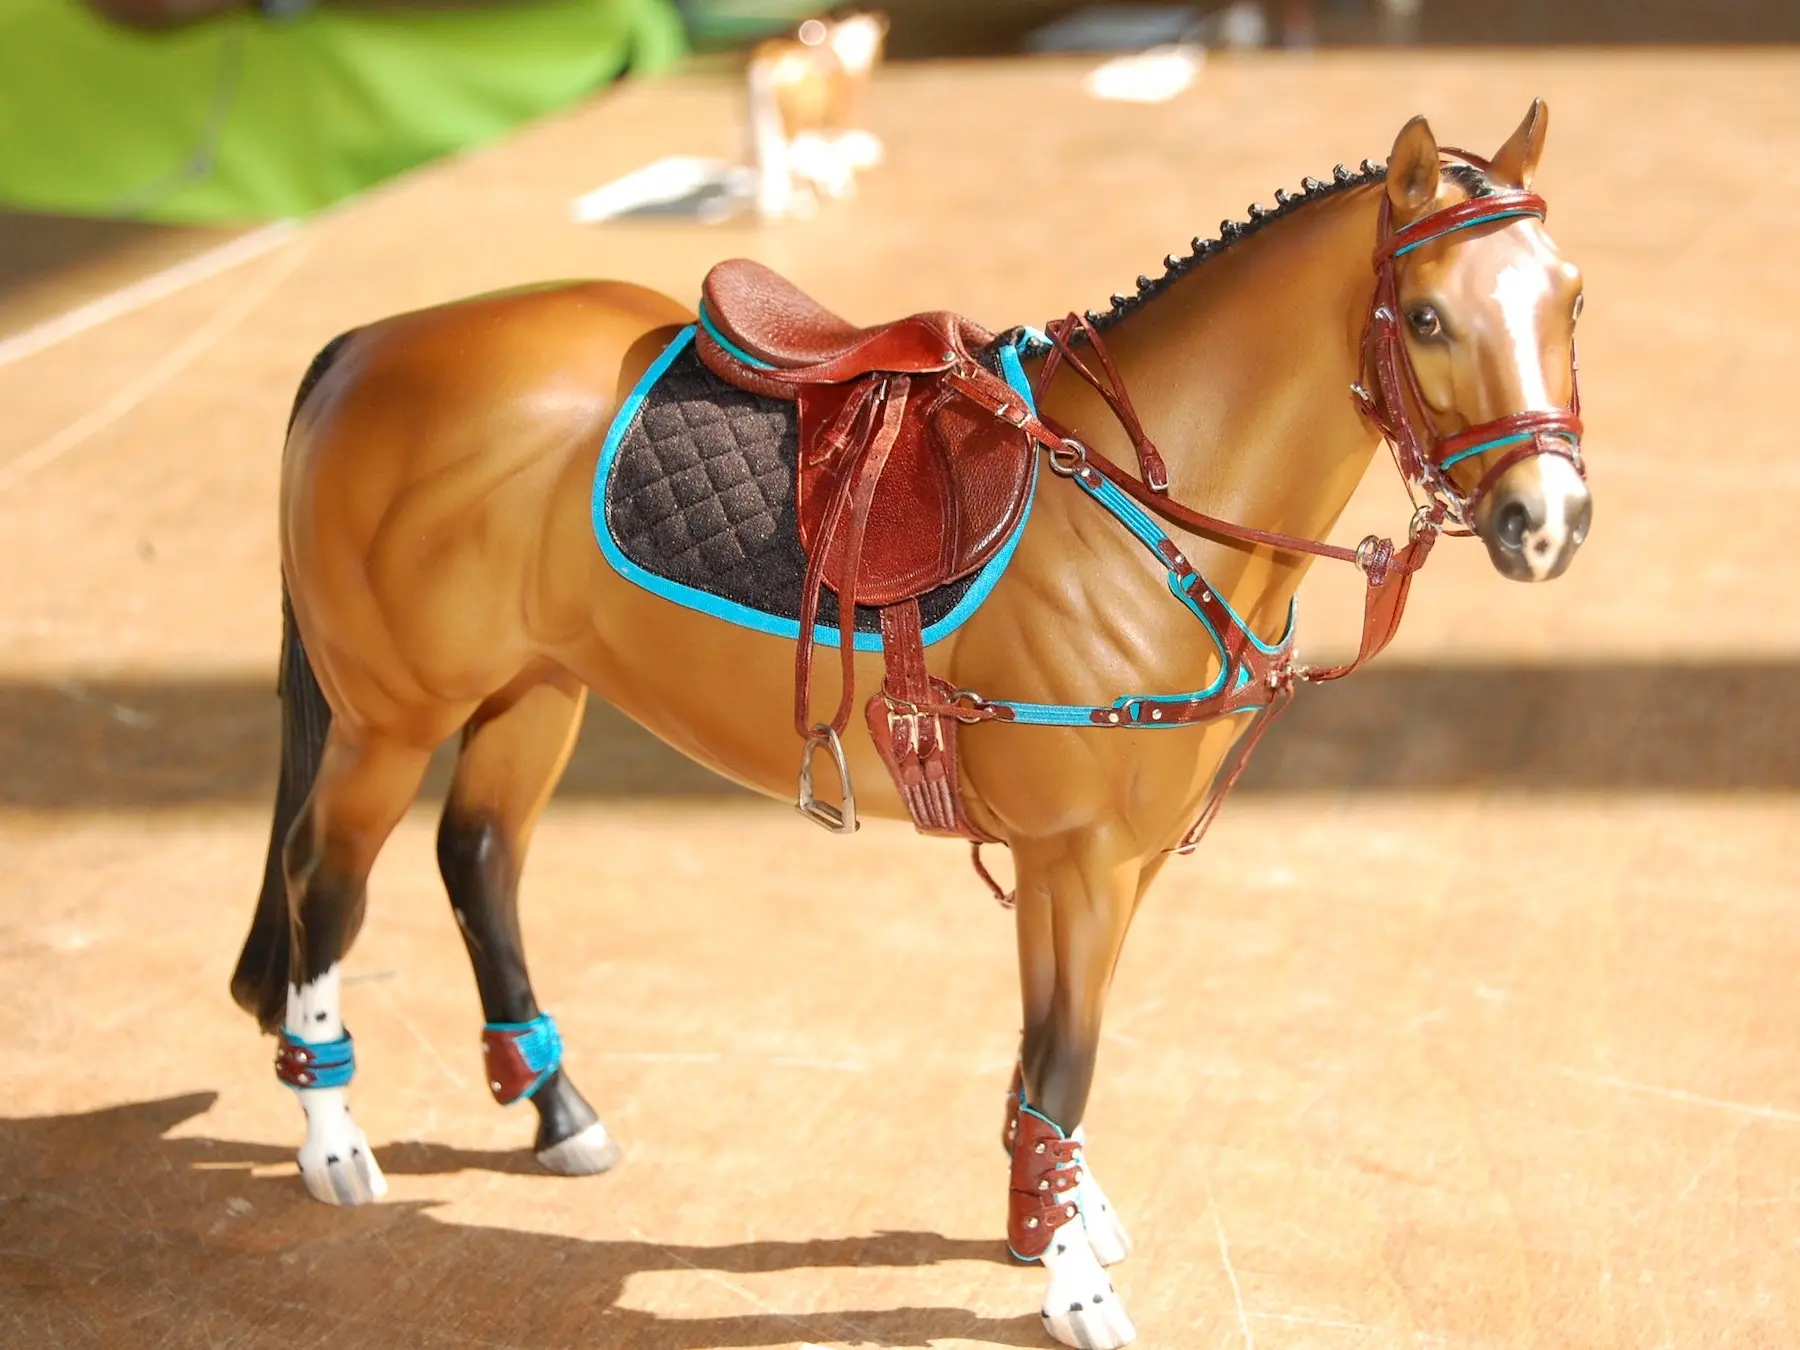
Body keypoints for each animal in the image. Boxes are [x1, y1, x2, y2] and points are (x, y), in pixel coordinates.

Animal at [235, 100, 1591, 1346]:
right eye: (1428, 318)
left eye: (1569, 301)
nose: (1549, 523)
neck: (1134, 510)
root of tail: (368, 345)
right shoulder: (1080, 859)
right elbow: (1065, 1061)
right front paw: (1076, 1287)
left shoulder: (1114, 862)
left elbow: (1051, 1059)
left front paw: (1052, 1216)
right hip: (391, 718)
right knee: (323, 885)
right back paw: (333, 1142)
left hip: (537, 691)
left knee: (476, 858)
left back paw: (557, 1108)